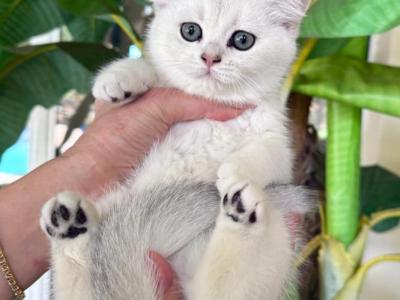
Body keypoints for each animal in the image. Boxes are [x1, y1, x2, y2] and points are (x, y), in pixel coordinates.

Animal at [40, 0, 310, 300]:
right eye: (190, 31)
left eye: (242, 40)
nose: (210, 57)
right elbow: (156, 72)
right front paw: (120, 77)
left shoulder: (279, 143)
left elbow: (267, 152)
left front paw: (235, 171)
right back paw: (68, 222)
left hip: (276, 236)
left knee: (222, 289)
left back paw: (241, 210)